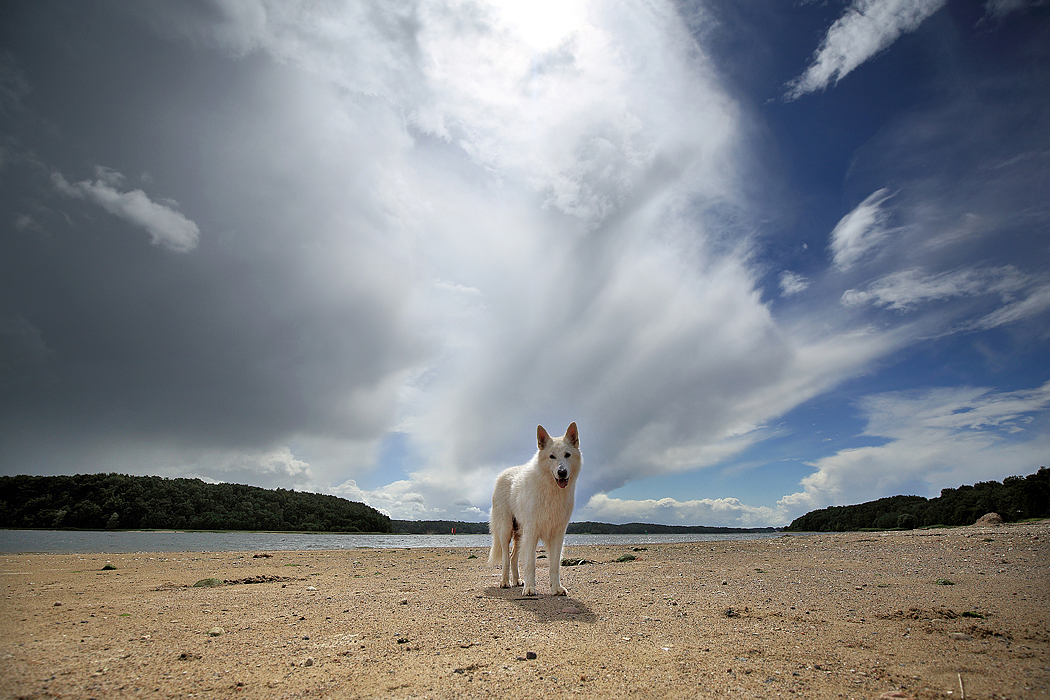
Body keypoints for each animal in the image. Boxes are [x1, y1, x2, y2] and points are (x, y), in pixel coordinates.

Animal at [485, 421, 579, 596]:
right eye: (552, 456)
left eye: (567, 455)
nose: (562, 472)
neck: (551, 490)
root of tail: (503, 473)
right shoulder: (532, 531)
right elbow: (530, 564)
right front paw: (530, 588)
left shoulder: (557, 534)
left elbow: (554, 565)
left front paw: (556, 588)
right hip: (506, 530)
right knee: (506, 558)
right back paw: (505, 582)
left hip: (520, 534)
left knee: (513, 557)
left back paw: (517, 581)